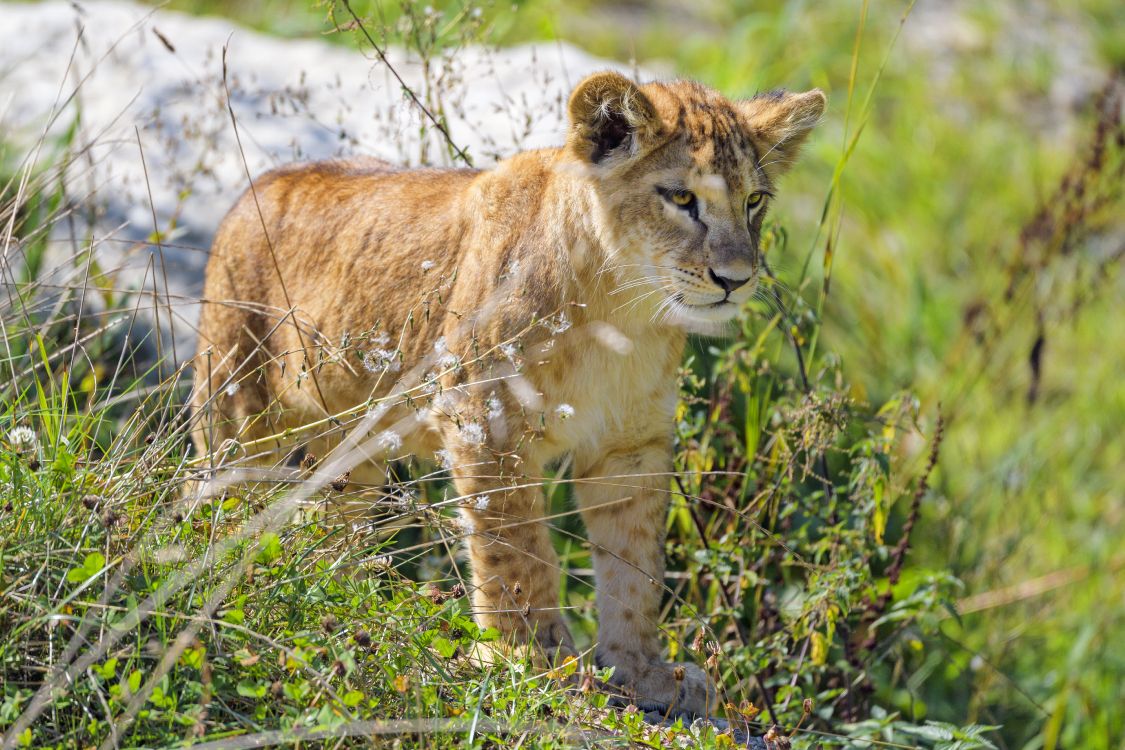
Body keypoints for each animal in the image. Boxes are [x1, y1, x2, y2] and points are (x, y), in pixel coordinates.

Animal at [190, 71, 825, 718]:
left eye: (754, 201)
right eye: (680, 198)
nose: (735, 280)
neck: (622, 308)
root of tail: (256, 187)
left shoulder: (630, 446)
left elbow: (635, 564)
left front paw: (642, 672)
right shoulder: (484, 421)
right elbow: (516, 551)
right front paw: (532, 659)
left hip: (351, 450)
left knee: (329, 521)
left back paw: (341, 594)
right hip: (238, 405)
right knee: (212, 490)